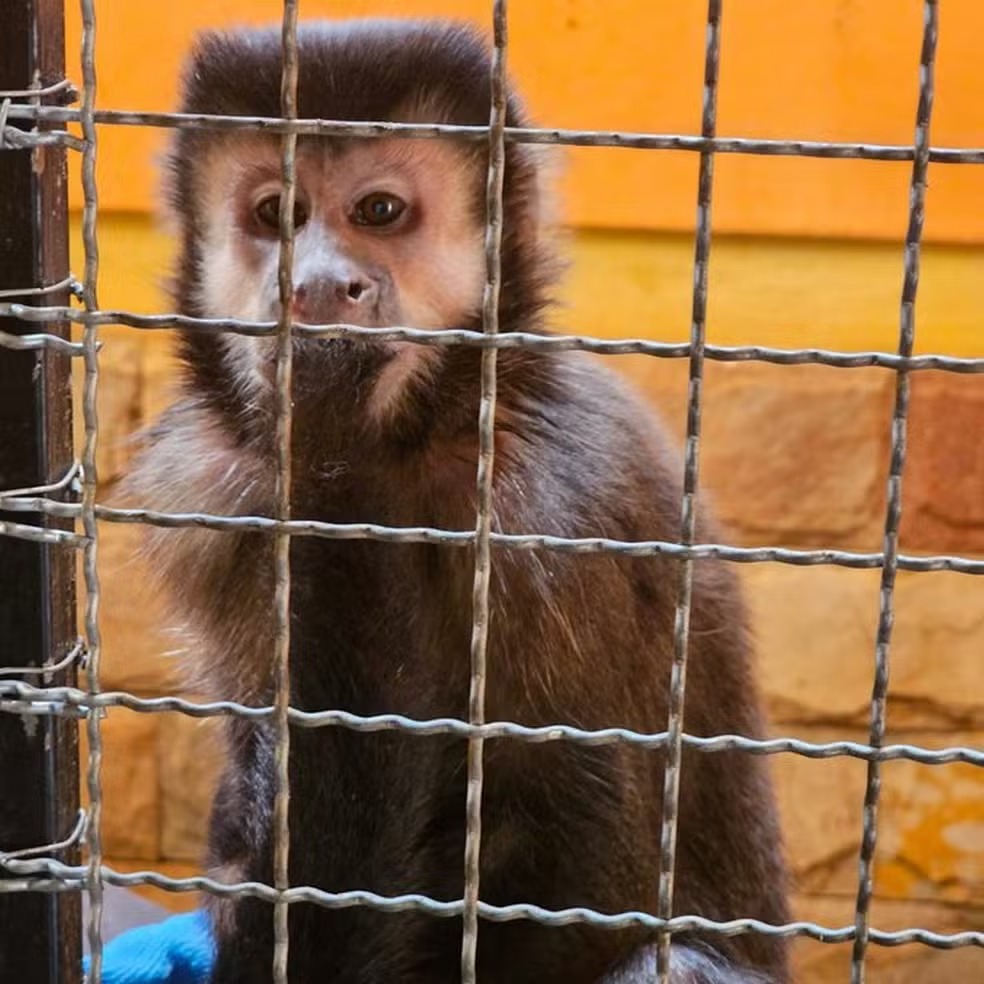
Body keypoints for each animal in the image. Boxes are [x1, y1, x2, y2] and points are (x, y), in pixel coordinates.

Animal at [126, 19, 791, 984]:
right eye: (276, 215)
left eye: (377, 213)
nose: (319, 285)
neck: (414, 437)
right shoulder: (211, 493)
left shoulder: (552, 508)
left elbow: (593, 865)